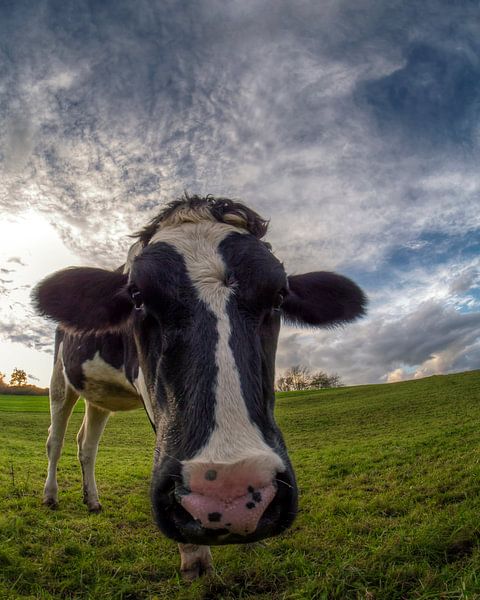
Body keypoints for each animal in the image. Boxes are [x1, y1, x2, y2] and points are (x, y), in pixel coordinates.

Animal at [32, 195, 364, 580]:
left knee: (86, 444)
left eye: (279, 297)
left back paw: (93, 501)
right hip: (59, 381)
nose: (227, 495)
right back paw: (50, 496)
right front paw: (194, 556)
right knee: (55, 440)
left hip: (98, 395)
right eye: (137, 297)